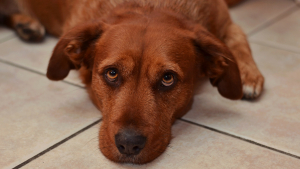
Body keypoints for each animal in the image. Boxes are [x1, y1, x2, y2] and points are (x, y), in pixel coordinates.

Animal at [0, 0, 262, 164]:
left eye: (168, 78)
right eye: (112, 73)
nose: (128, 145)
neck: (150, 4)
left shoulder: (227, 24)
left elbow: (239, 42)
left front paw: (249, 75)